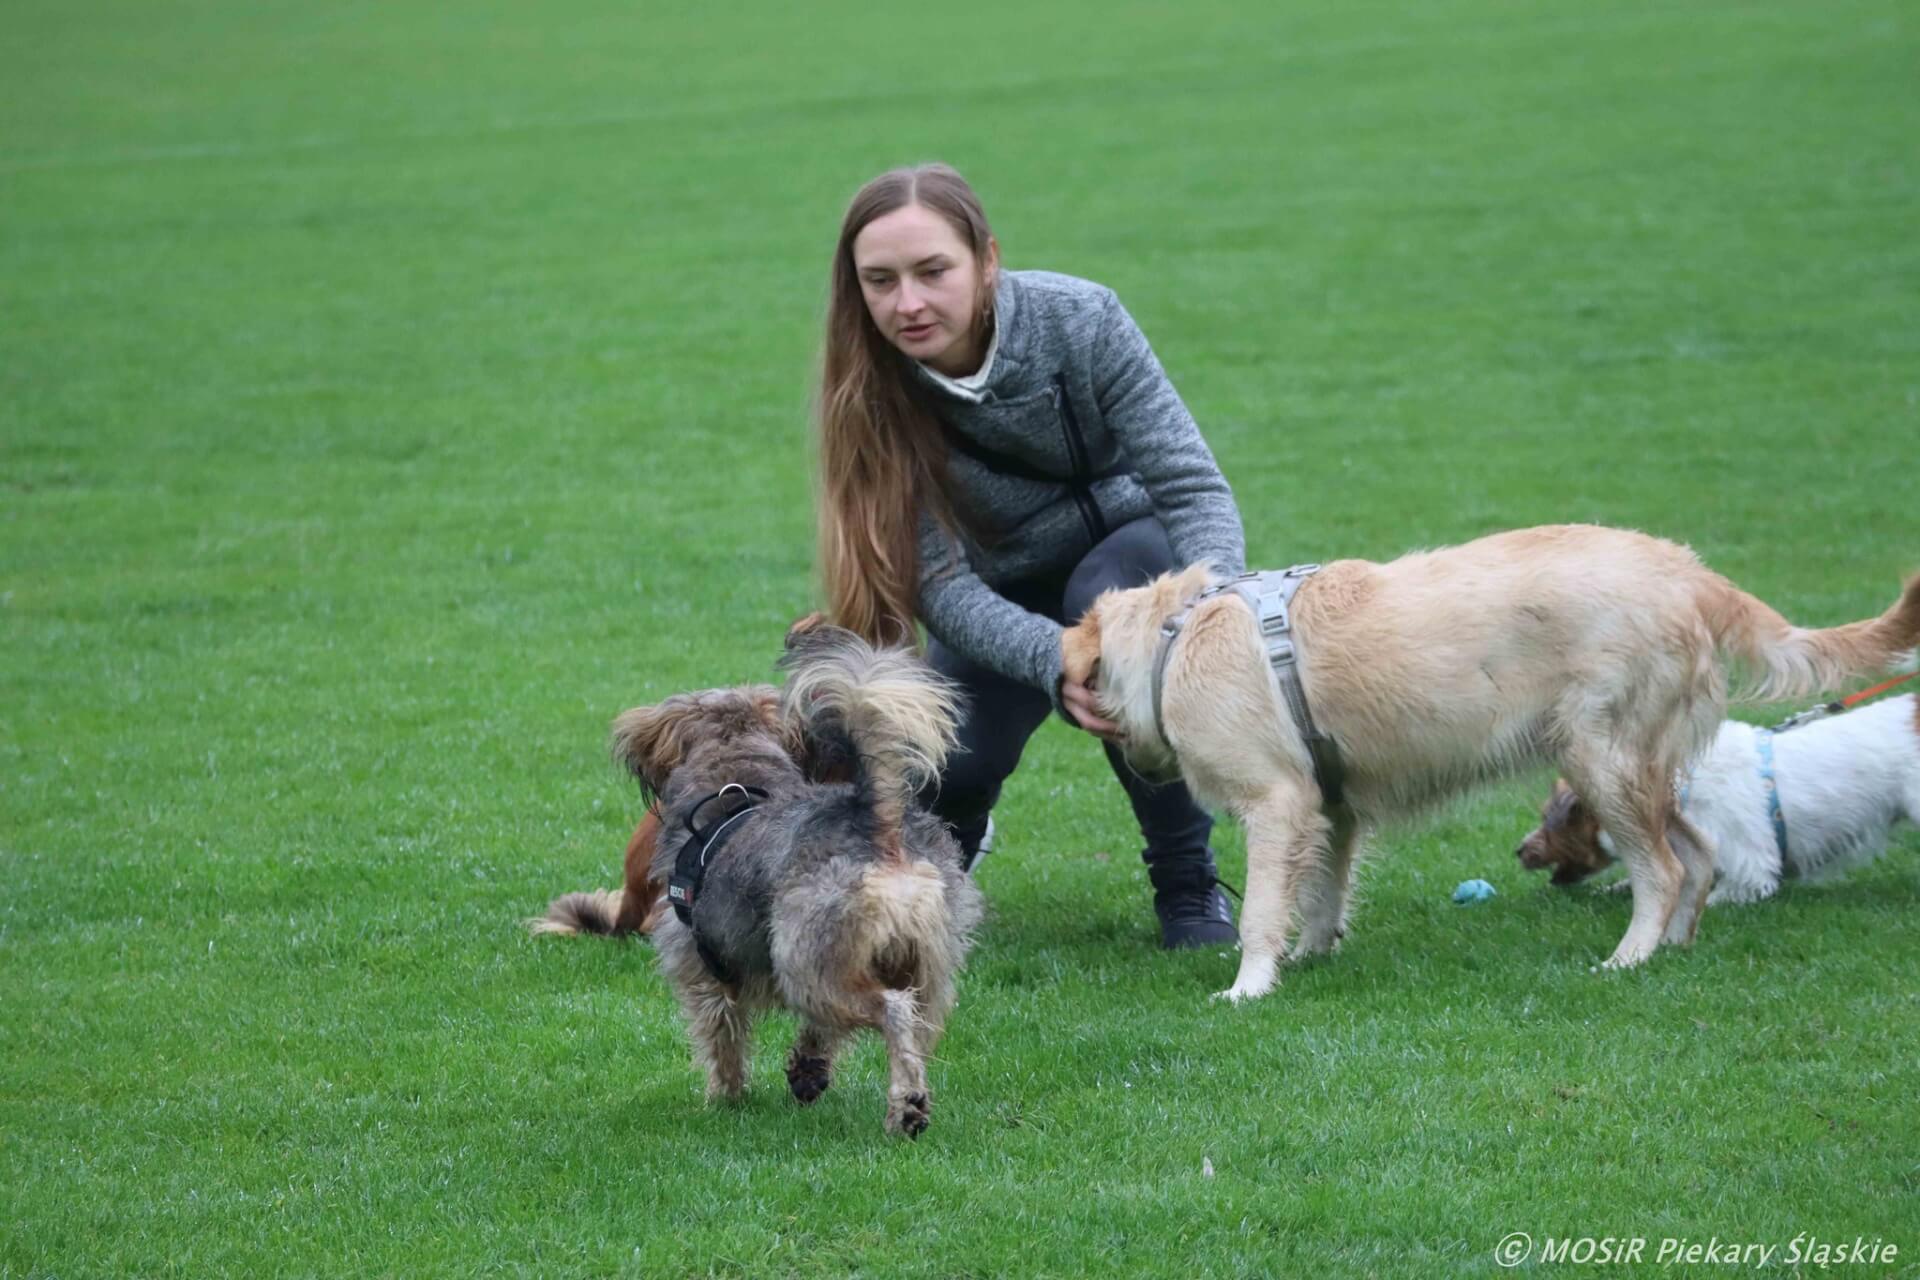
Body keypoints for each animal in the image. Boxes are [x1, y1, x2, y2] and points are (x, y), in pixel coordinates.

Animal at [610, 625, 983, 1136]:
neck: (735, 788)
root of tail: (877, 824)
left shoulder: (702, 970)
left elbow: (721, 1038)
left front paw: (724, 1097)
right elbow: (819, 1036)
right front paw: (808, 1070)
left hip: (806, 963)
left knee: (892, 1010)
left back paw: (903, 1107)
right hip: (928, 964)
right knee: (915, 1031)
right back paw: (911, 1100)